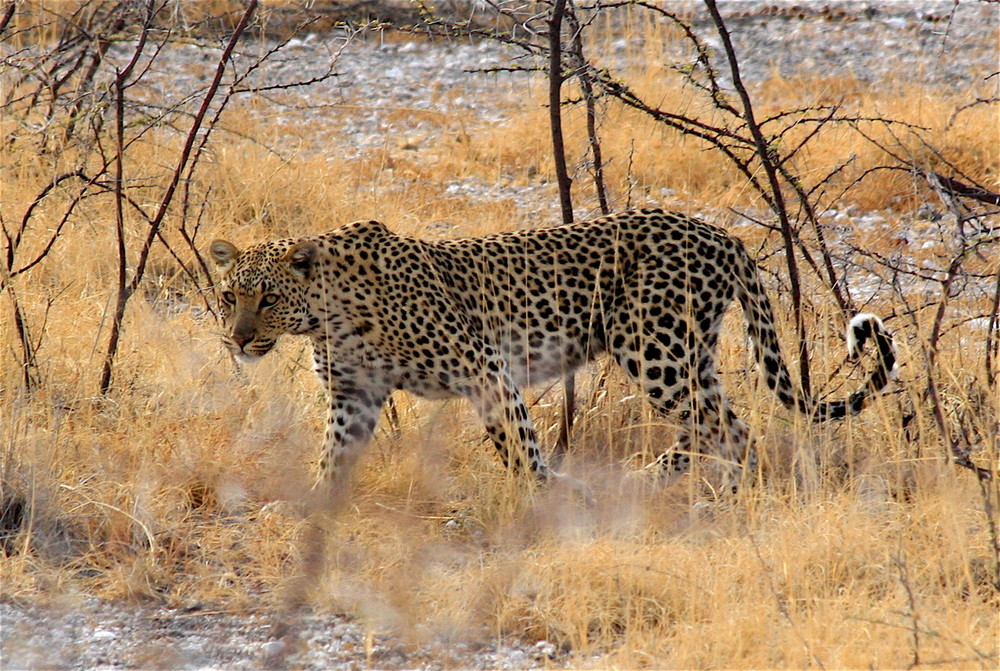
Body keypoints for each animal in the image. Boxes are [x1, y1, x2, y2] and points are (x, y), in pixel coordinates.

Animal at [211, 209, 900, 494]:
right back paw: (679, 488)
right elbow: (333, 457)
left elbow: (520, 449)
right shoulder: (354, 396)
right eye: (228, 295)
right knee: (721, 424)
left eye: (266, 298)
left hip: (652, 350)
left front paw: (549, 500)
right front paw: (314, 508)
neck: (325, 317)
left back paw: (711, 496)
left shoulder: (484, 370)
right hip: (687, 353)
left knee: (721, 428)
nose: (239, 339)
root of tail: (719, 233)